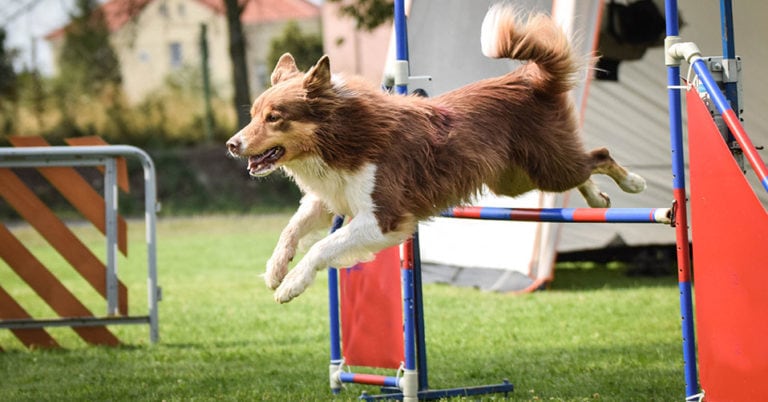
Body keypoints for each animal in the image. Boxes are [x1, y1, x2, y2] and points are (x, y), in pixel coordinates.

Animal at [230, 4, 648, 304]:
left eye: (274, 117)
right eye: (253, 115)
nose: (232, 144)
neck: (341, 135)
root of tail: (530, 79)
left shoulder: (385, 217)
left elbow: (323, 246)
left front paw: (292, 285)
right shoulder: (332, 196)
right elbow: (292, 228)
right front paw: (275, 268)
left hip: (547, 166)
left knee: (597, 155)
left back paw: (633, 183)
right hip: (516, 180)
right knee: (584, 169)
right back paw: (599, 198)